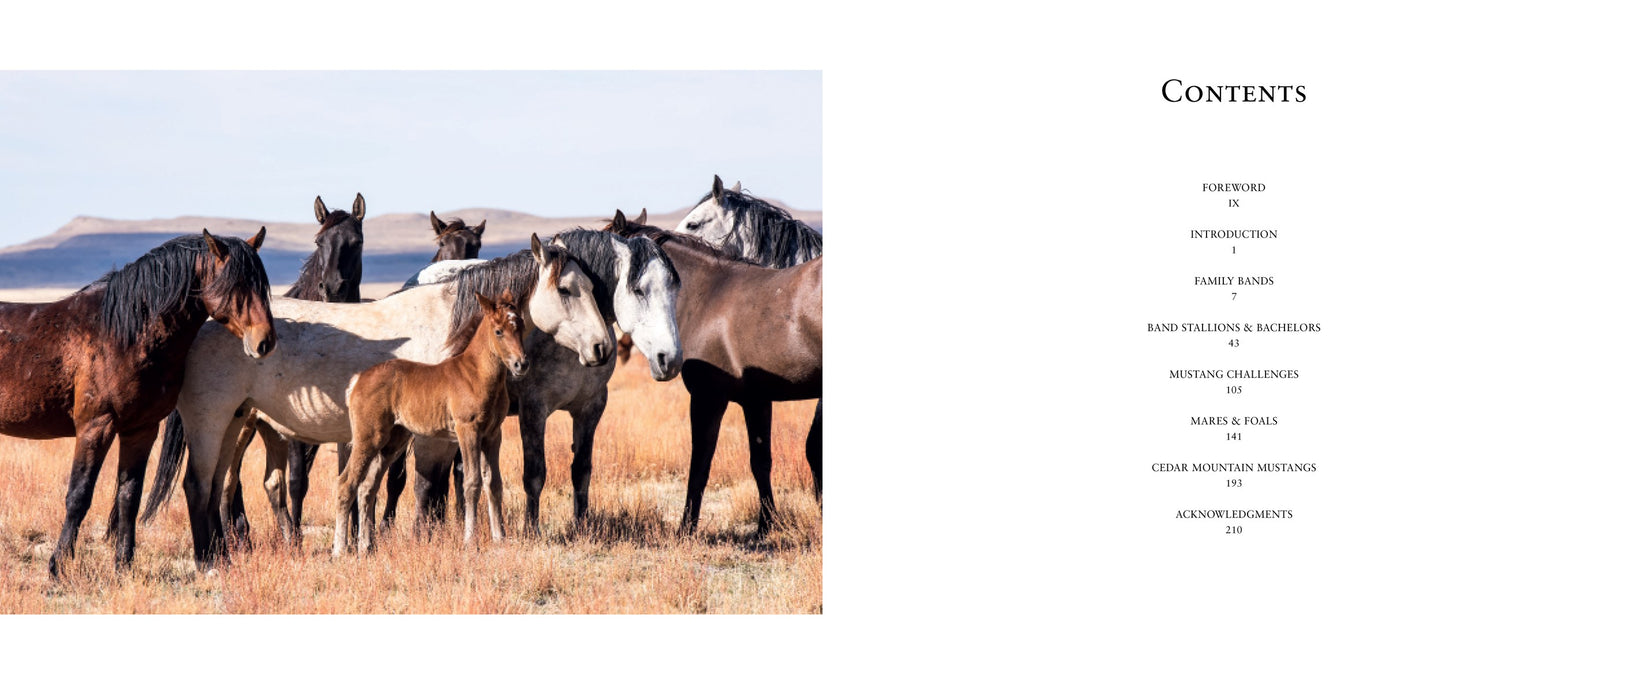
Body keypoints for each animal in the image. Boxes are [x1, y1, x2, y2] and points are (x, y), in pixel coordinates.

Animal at [0, 230, 275, 576]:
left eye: (261, 284)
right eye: (237, 284)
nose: (265, 342)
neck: (122, 335)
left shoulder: (141, 430)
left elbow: (128, 497)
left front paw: (123, 565)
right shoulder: (95, 428)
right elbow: (79, 496)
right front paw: (57, 566)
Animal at [337, 290, 528, 555]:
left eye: (521, 326)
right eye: (499, 331)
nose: (521, 364)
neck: (476, 374)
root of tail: (357, 380)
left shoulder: (493, 434)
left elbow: (494, 483)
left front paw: (500, 538)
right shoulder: (467, 430)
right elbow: (472, 482)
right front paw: (470, 541)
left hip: (392, 442)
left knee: (367, 487)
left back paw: (366, 547)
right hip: (368, 438)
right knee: (346, 484)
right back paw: (339, 550)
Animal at [388, 227, 683, 534]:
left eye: (676, 289)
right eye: (639, 290)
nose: (669, 359)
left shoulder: (591, 407)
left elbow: (582, 470)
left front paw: (582, 525)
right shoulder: (533, 409)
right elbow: (534, 474)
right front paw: (531, 529)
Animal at [607, 217, 821, 537]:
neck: (707, 296)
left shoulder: (707, 399)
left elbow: (700, 465)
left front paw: (685, 529)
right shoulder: (756, 400)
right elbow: (760, 462)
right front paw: (766, 525)